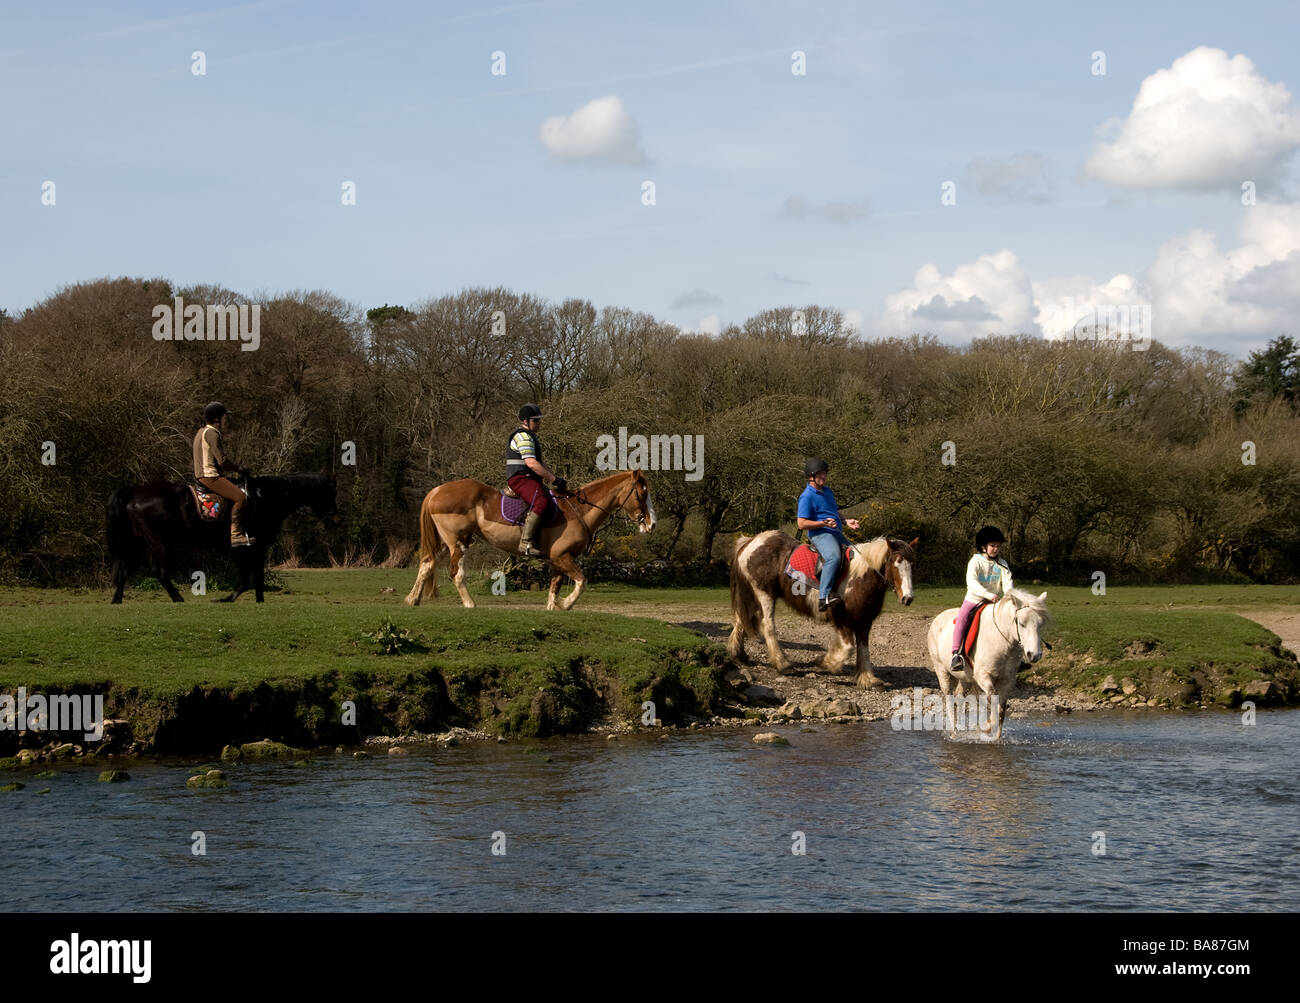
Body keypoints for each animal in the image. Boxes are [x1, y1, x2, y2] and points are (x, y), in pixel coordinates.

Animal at [107, 472, 338, 602]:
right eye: (330, 494)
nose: (333, 519)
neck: (266, 497)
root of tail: (134, 492)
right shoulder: (247, 546)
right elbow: (247, 577)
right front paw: (229, 599)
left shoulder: (255, 547)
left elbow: (255, 577)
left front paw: (258, 601)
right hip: (160, 543)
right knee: (160, 571)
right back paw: (177, 597)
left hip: (138, 543)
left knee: (125, 570)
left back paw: (117, 600)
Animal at [400, 470, 655, 610]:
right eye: (642, 494)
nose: (651, 524)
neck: (579, 510)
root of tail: (437, 491)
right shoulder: (562, 556)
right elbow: (582, 582)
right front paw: (565, 604)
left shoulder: (558, 560)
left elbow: (555, 586)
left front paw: (554, 606)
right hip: (458, 542)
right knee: (456, 573)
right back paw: (470, 604)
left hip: (444, 543)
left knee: (427, 565)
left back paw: (412, 599)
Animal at [728, 532, 920, 691]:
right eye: (896, 563)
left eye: (912, 564)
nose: (908, 598)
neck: (859, 578)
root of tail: (750, 541)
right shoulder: (843, 620)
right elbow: (848, 648)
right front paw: (825, 662)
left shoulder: (864, 621)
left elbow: (863, 649)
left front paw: (868, 679)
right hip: (764, 593)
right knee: (767, 625)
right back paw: (782, 663)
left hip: (750, 594)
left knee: (741, 620)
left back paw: (739, 654)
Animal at [925, 587, 1055, 737]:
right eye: (1022, 624)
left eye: (1040, 624)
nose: (1034, 655)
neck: (1002, 641)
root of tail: (938, 618)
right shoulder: (983, 676)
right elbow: (992, 699)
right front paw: (987, 726)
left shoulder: (1007, 681)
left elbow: (1002, 710)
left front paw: (997, 736)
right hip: (942, 670)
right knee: (949, 698)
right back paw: (954, 731)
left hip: (965, 678)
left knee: (959, 697)